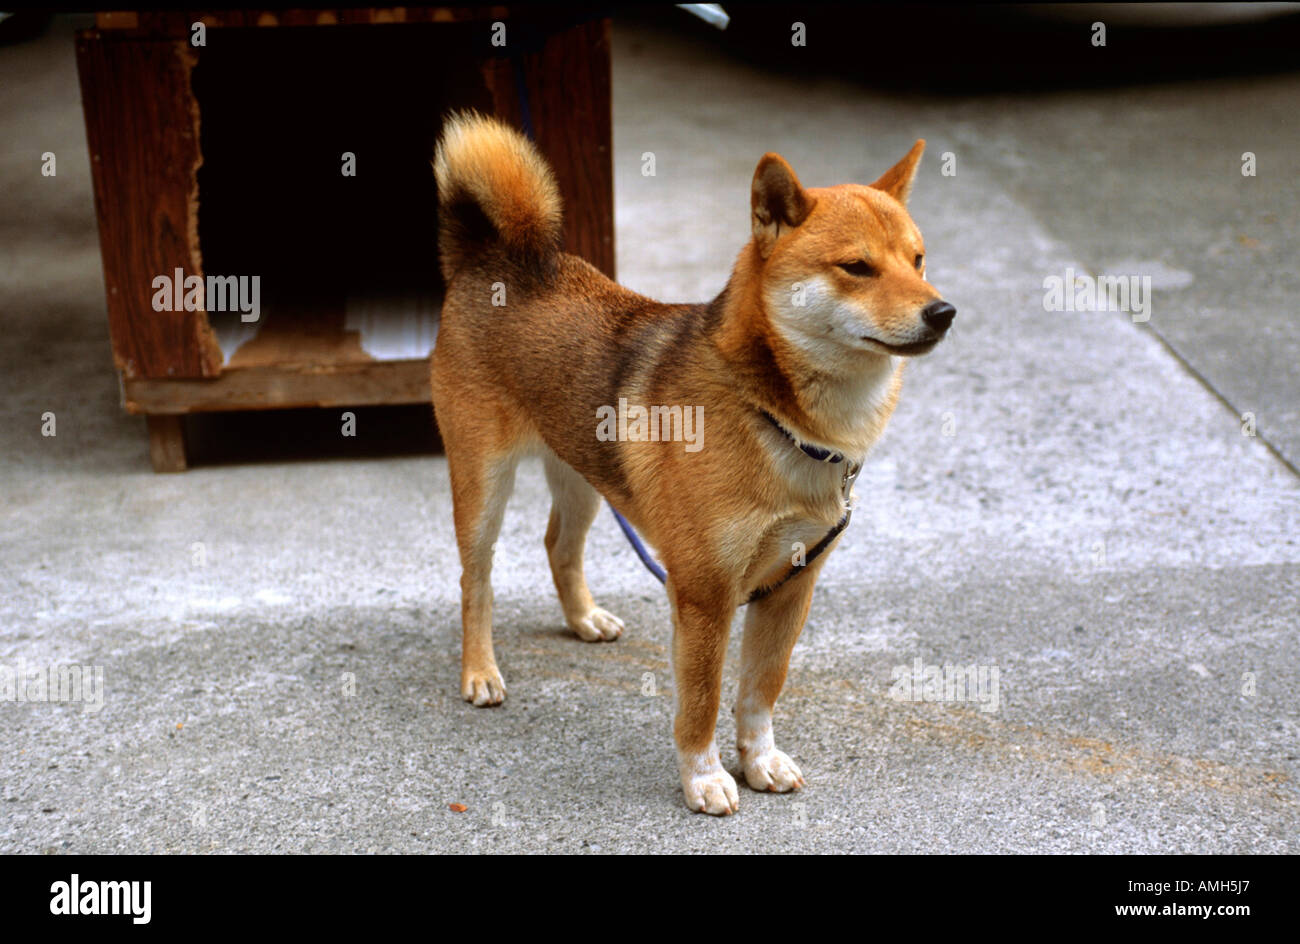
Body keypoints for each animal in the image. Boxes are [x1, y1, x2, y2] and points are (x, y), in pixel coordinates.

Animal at [431, 114, 951, 816]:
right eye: (857, 267)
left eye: (918, 260)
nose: (942, 311)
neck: (777, 416)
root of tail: (490, 258)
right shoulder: (705, 593)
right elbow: (702, 701)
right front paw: (704, 777)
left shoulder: (791, 586)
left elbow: (760, 692)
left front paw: (759, 760)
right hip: (483, 484)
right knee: (475, 579)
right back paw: (480, 671)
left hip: (584, 476)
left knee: (558, 545)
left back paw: (583, 618)